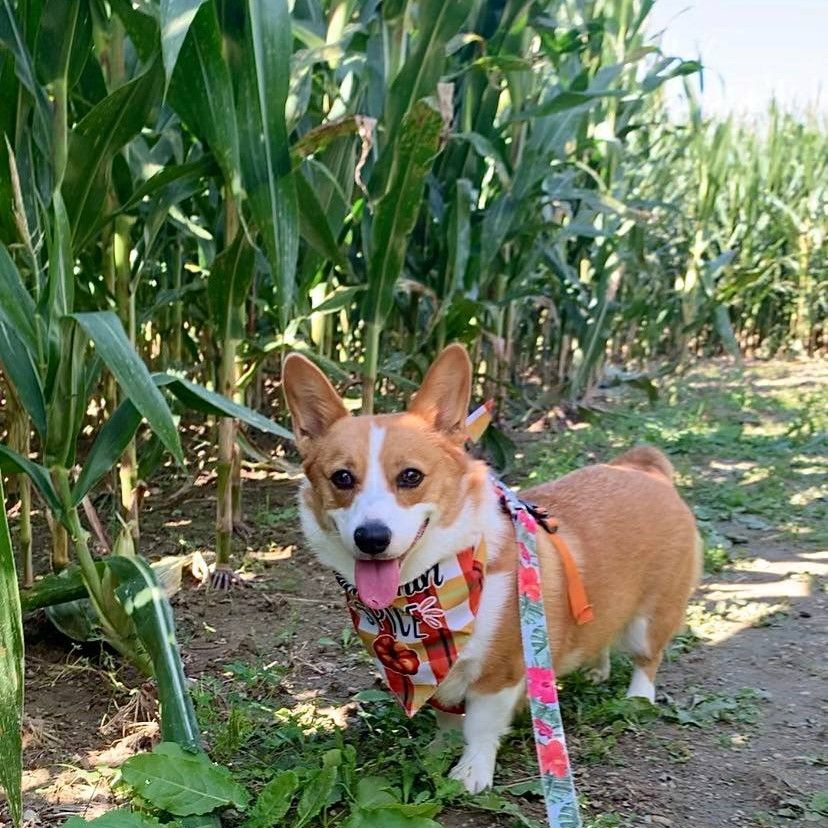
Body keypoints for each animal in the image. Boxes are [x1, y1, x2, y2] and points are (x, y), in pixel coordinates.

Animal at [282, 344, 700, 796]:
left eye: (410, 476)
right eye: (342, 477)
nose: (371, 538)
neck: (426, 591)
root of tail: (644, 467)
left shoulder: (500, 673)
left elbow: (480, 727)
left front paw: (470, 772)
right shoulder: (440, 681)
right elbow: (448, 717)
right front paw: (439, 751)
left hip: (652, 617)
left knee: (647, 657)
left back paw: (637, 697)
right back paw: (595, 671)